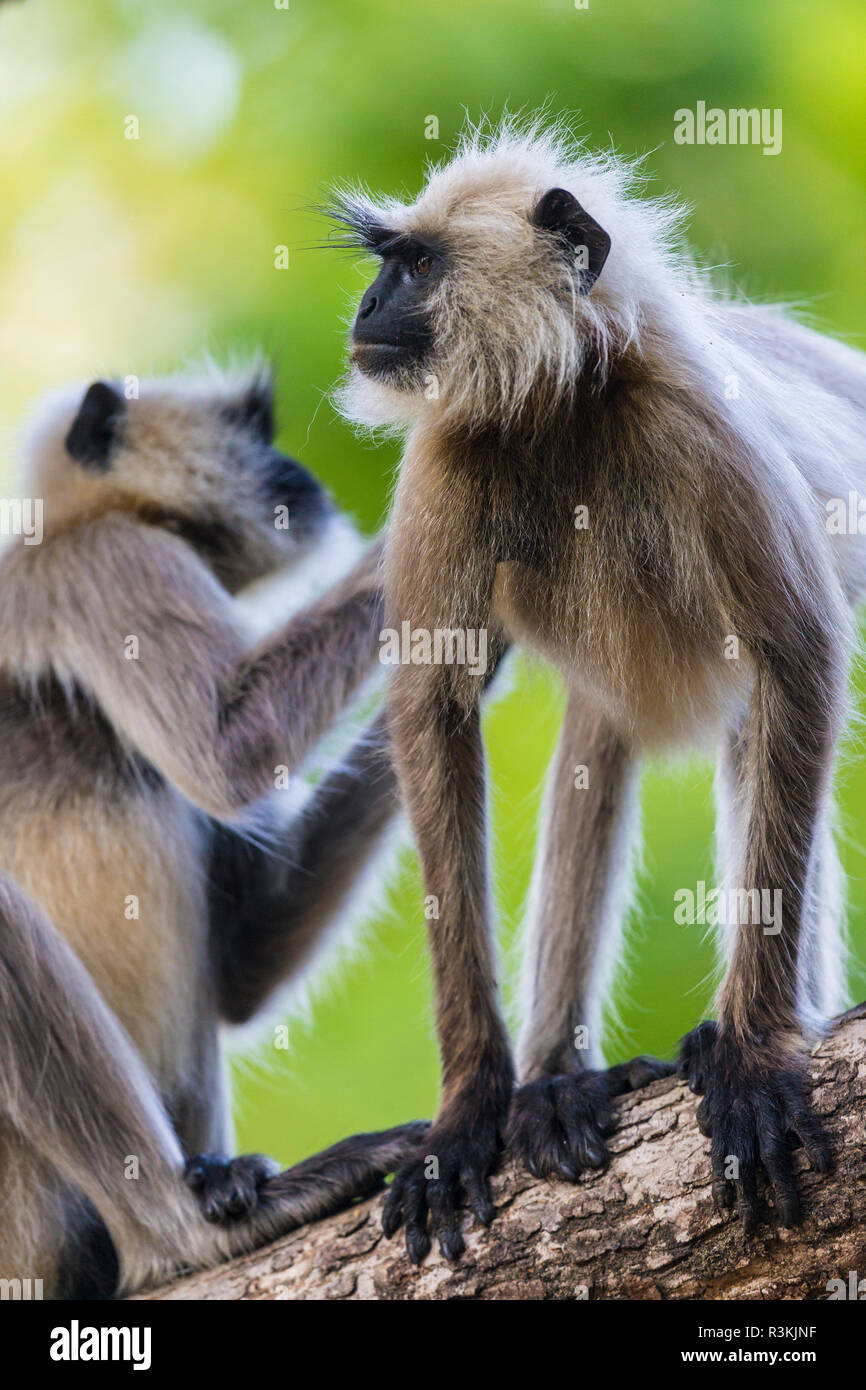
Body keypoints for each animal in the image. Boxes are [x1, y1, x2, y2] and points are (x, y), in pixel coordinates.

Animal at [0, 364, 422, 1295]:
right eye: (256, 428)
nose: (300, 475)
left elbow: (244, 966)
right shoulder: (107, 563)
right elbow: (230, 749)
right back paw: (190, 1235)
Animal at [328, 122, 861, 1262]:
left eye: (416, 265)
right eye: (386, 262)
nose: (367, 305)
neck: (556, 409)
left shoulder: (697, 421)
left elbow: (795, 658)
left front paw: (756, 1054)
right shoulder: (446, 457)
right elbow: (433, 717)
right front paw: (469, 1109)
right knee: (595, 761)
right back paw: (554, 1081)